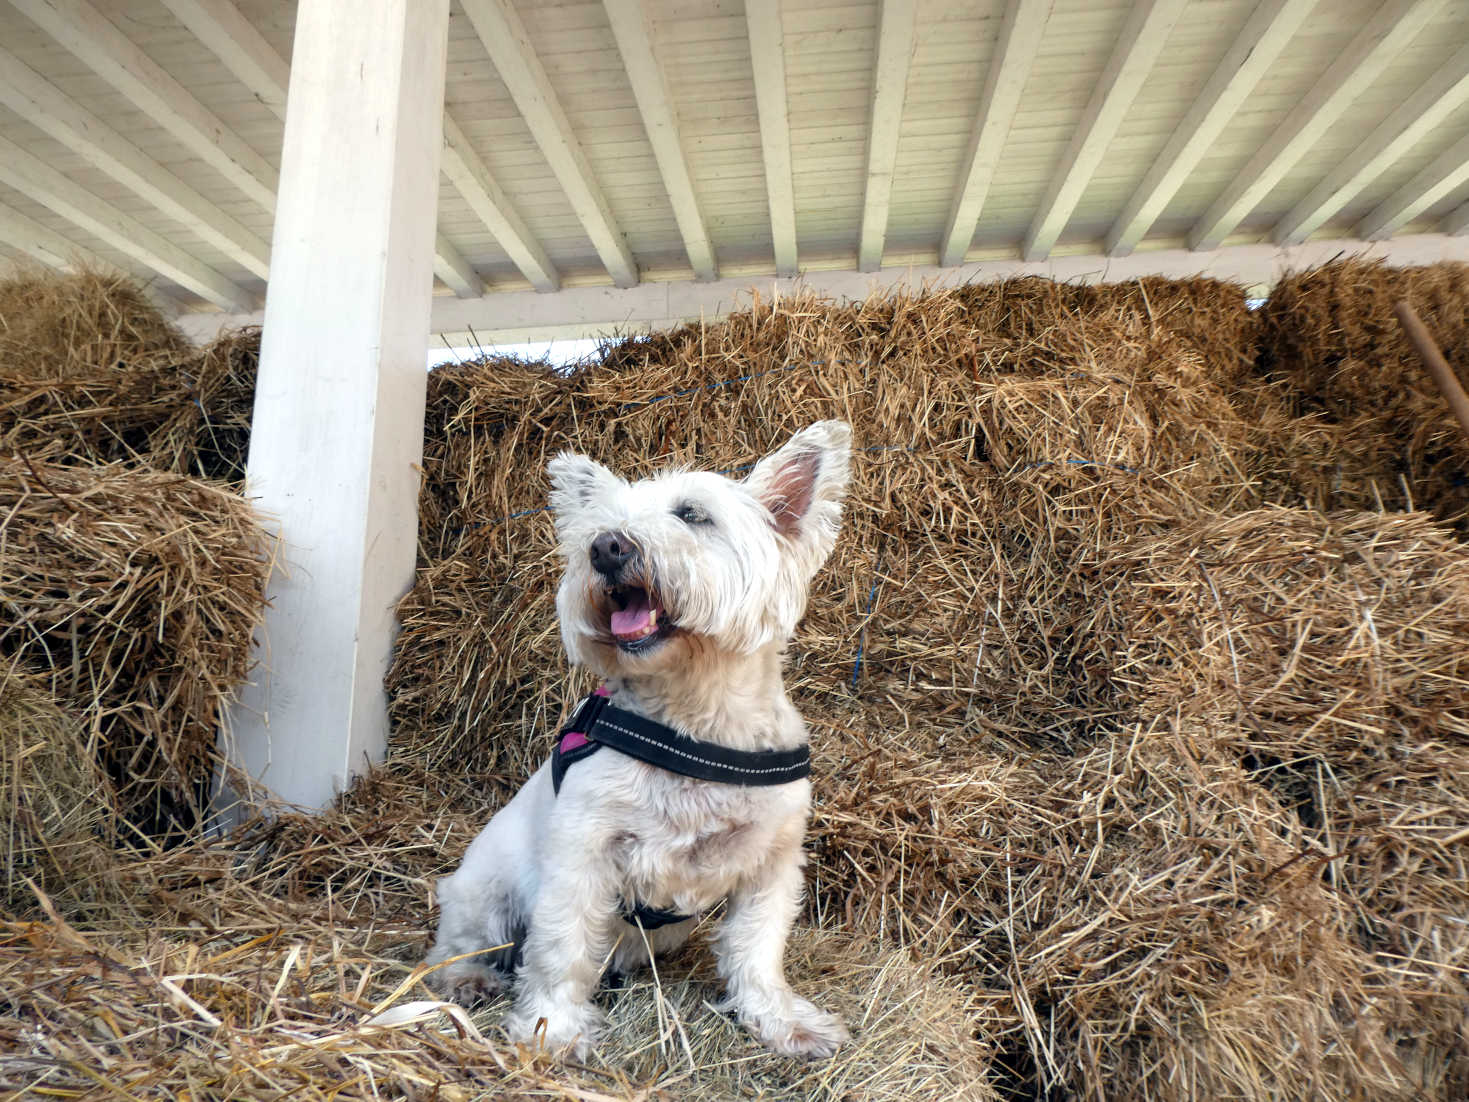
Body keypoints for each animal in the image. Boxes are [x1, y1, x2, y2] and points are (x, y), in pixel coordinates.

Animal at [426, 420, 857, 1063]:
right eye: (598, 525)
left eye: (693, 514)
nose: (606, 547)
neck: (695, 720)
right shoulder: (583, 851)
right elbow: (560, 948)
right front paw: (554, 1030)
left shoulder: (772, 863)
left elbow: (758, 949)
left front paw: (783, 1022)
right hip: (484, 888)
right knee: (459, 943)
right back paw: (468, 979)